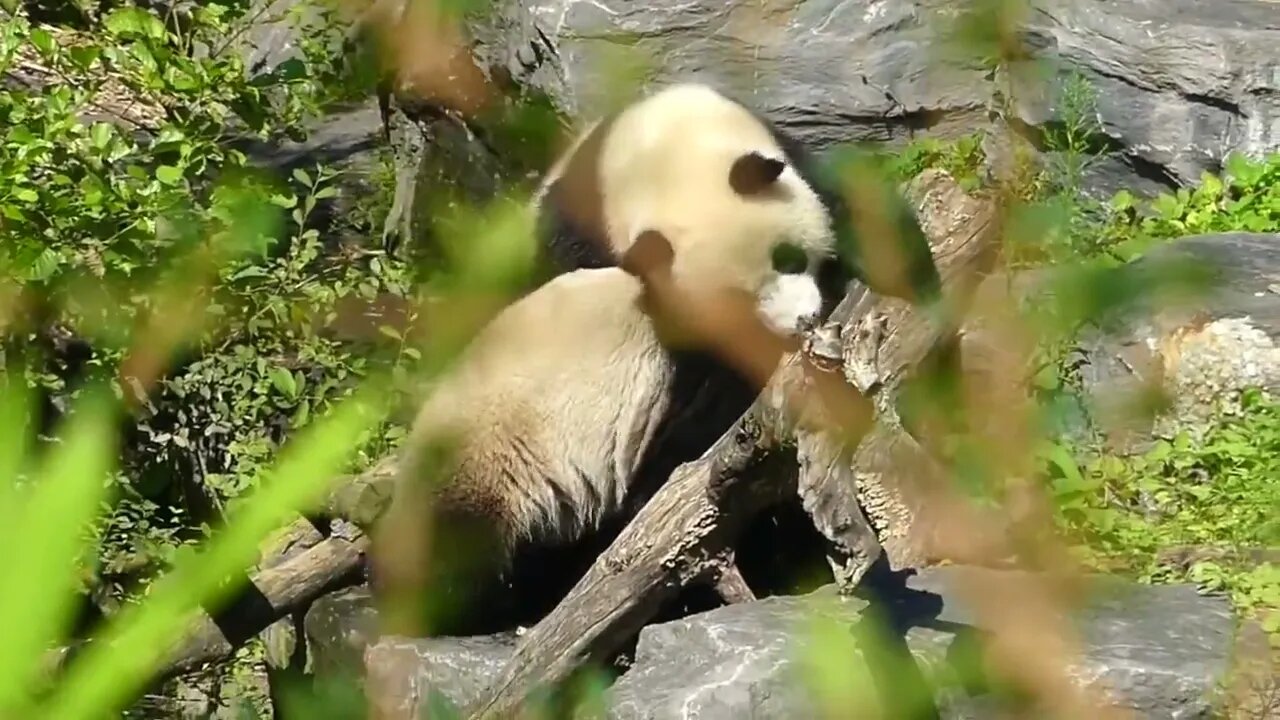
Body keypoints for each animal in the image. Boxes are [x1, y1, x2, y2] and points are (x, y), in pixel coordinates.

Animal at [373, 81, 947, 635]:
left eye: (788, 256)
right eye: (739, 304)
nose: (804, 319)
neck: (657, 157)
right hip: (487, 463)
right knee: (457, 554)